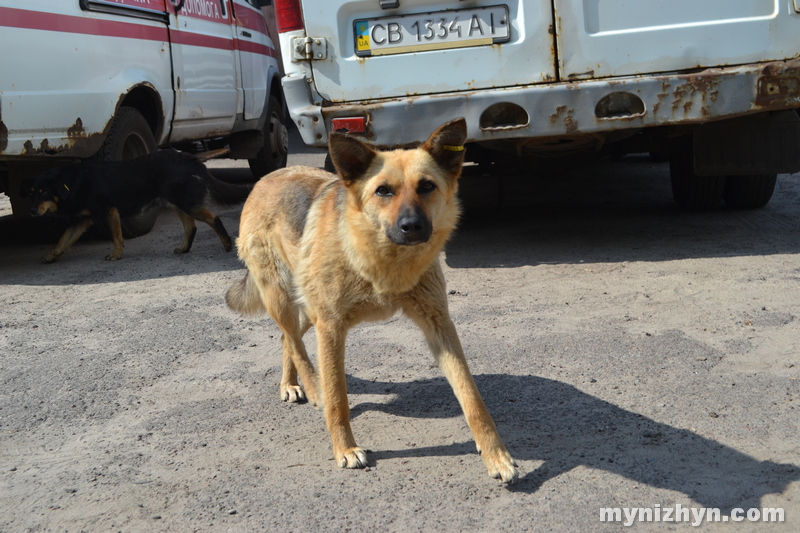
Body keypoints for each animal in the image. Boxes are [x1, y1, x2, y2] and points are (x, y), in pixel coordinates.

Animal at [21, 150, 250, 262]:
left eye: (44, 193)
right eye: (31, 194)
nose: (31, 211)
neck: (75, 182)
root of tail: (189, 158)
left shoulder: (109, 211)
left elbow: (117, 237)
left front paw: (116, 255)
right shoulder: (81, 220)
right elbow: (63, 240)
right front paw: (52, 256)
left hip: (186, 203)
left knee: (214, 219)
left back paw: (227, 244)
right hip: (177, 203)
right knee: (191, 227)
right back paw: (184, 248)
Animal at [228, 117, 520, 482]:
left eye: (427, 186)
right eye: (383, 191)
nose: (412, 226)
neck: (383, 260)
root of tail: (266, 178)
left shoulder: (439, 325)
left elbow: (471, 396)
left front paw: (496, 454)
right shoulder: (331, 329)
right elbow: (338, 399)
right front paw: (345, 448)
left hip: (308, 307)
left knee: (287, 337)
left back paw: (293, 382)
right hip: (284, 298)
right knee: (293, 340)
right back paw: (310, 386)